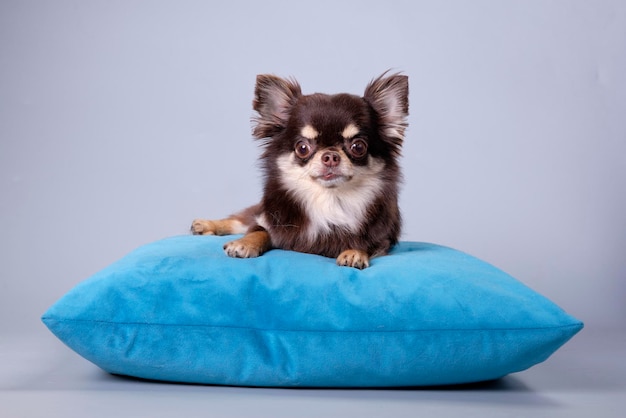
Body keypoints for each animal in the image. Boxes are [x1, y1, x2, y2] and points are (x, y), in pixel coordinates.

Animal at [190, 71, 408, 268]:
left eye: (358, 147)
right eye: (302, 148)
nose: (330, 156)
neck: (329, 200)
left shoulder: (382, 239)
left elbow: (365, 243)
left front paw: (354, 252)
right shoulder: (270, 221)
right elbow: (258, 230)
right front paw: (244, 244)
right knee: (241, 219)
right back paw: (206, 225)